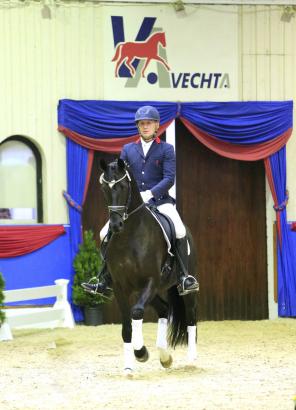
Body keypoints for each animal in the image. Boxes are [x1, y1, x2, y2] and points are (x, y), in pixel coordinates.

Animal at [98, 159, 198, 376]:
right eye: (104, 188)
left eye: (122, 186)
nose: (115, 225)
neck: (128, 237)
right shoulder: (119, 286)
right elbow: (127, 326)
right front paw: (128, 367)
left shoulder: (151, 281)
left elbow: (136, 313)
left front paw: (141, 352)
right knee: (164, 309)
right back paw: (165, 356)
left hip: (181, 287)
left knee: (191, 316)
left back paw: (192, 360)